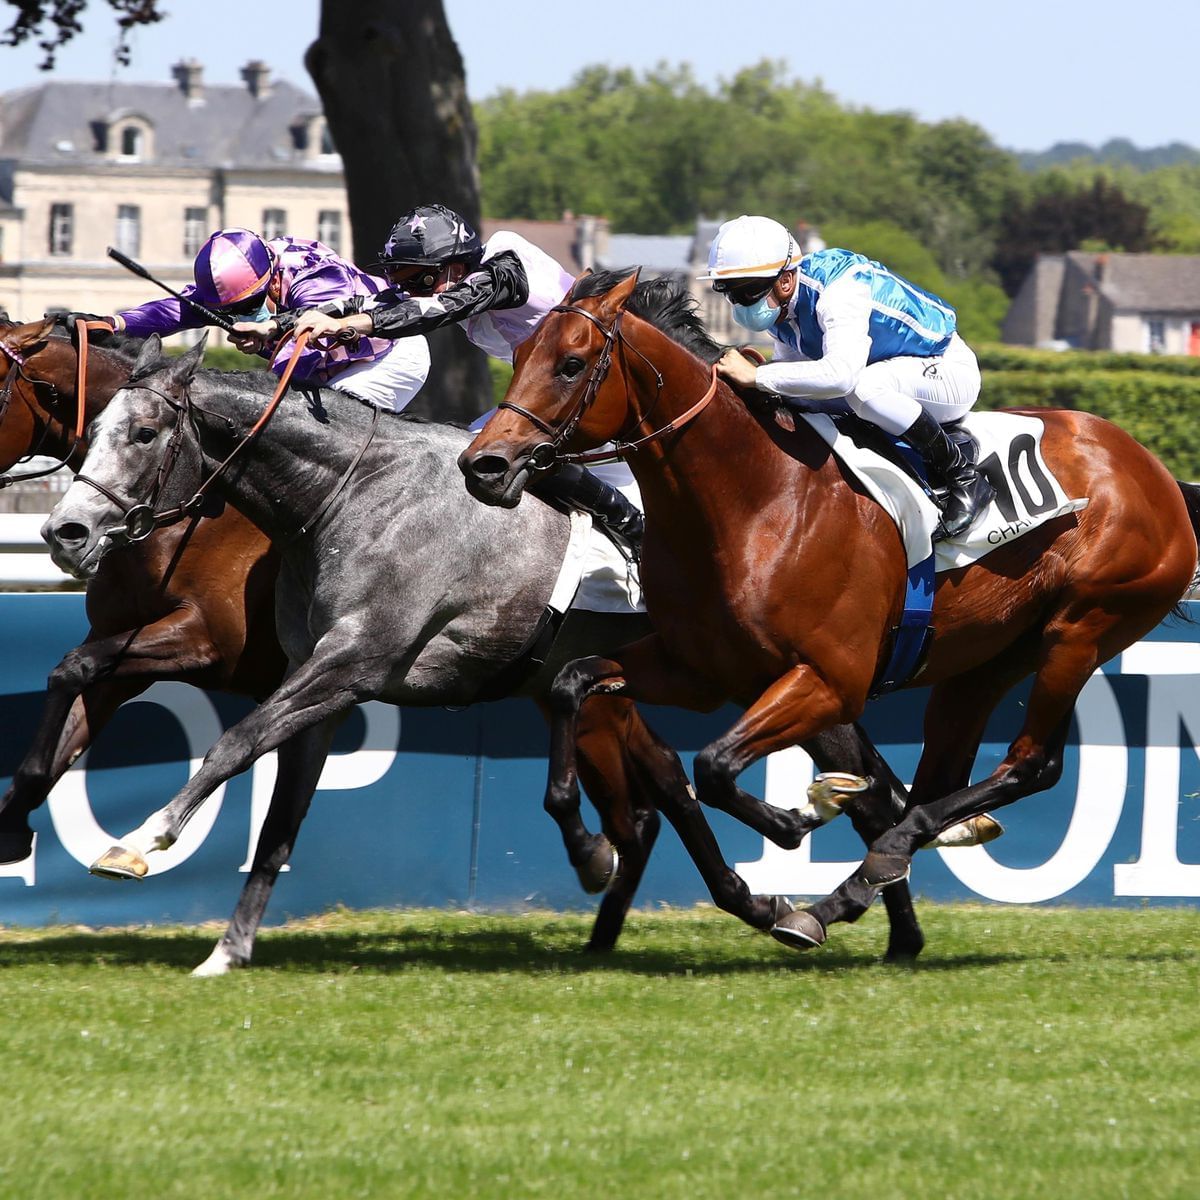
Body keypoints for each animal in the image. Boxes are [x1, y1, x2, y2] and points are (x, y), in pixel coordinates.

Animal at [460, 274, 1200, 955]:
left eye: (572, 363)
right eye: (518, 350)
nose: (483, 465)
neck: (756, 499)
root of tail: (1153, 470)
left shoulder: (829, 679)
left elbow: (716, 766)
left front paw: (796, 819)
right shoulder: (697, 670)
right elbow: (573, 682)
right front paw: (587, 843)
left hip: (1082, 629)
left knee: (1029, 765)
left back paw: (866, 873)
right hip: (990, 657)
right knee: (930, 782)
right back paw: (867, 887)